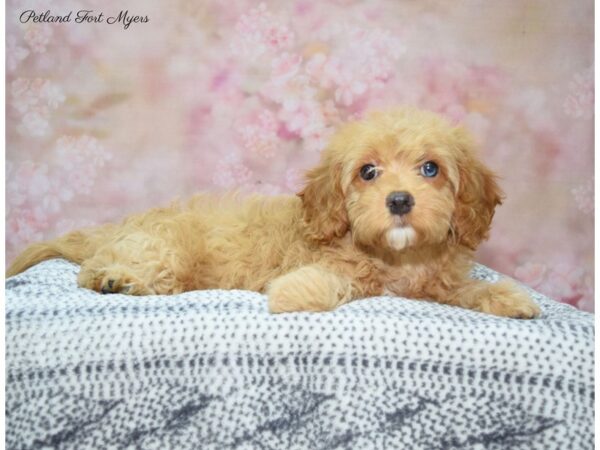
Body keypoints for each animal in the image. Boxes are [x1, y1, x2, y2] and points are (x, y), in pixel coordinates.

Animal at [5, 108, 540, 320]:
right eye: (368, 172)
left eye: (430, 169)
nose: (400, 200)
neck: (397, 260)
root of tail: (121, 227)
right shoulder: (336, 265)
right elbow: (331, 280)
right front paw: (295, 292)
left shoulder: (436, 287)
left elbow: (465, 290)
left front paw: (509, 298)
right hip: (162, 248)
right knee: (97, 270)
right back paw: (117, 279)